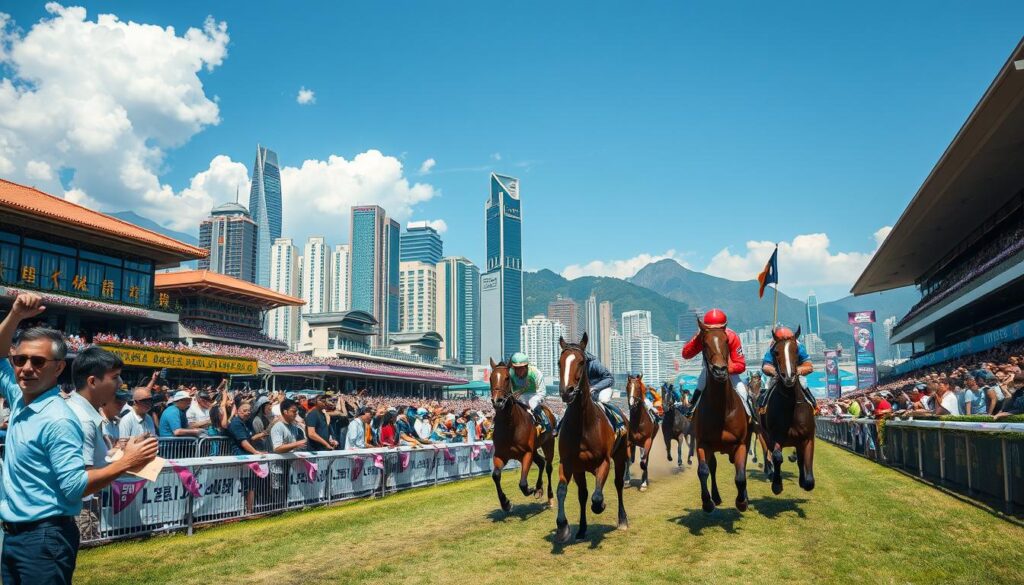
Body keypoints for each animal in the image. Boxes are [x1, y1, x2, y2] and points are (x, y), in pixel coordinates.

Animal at [489, 358, 557, 514]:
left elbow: (523, 483)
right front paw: (505, 503)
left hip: (548, 444)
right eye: (490, 378)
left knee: (548, 466)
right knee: (542, 462)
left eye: (507, 378)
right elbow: (496, 475)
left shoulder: (526, 453)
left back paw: (550, 498)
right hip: (535, 449)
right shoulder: (501, 454)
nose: (497, 401)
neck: (510, 426)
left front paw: (530, 489)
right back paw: (539, 488)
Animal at [557, 333, 626, 545]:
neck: (583, 425)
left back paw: (623, 520)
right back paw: (581, 529)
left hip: (621, 456)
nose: (567, 391)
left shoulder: (604, 461)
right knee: (583, 494)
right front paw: (563, 527)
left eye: (581, 362)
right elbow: (563, 491)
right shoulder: (569, 463)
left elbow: (597, 497)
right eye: (559, 362)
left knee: (618, 484)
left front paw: (601, 505)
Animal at [688, 317, 753, 514]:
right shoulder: (702, 443)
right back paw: (715, 497)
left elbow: (740, 475)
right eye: (704, 343)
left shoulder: (740, 443)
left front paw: (742, 501)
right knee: (713, 466)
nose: (720, 370)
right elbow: (703, 471)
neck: (721, 409)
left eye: (726, 341)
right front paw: (707, 502)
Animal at [757, 329, 819, 493]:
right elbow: (777, 456)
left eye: (796, 350)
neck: (791, 407)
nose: (789, 376)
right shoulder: (774, 436)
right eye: (776, 352)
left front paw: (804, 480)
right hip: (762, 433)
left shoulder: (807, 438)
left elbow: (808, 476)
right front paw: (777, 484)